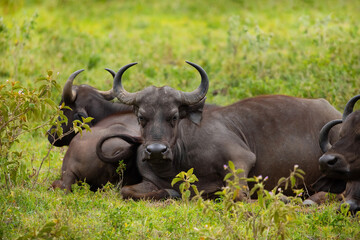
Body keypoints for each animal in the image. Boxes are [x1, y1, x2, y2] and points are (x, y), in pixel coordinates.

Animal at [108, 61, 342, 200]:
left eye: (174, 116)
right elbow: (126, 190)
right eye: (141, 117)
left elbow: (236, 193)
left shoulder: (240, 158)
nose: (156, 150)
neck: (179, 162)